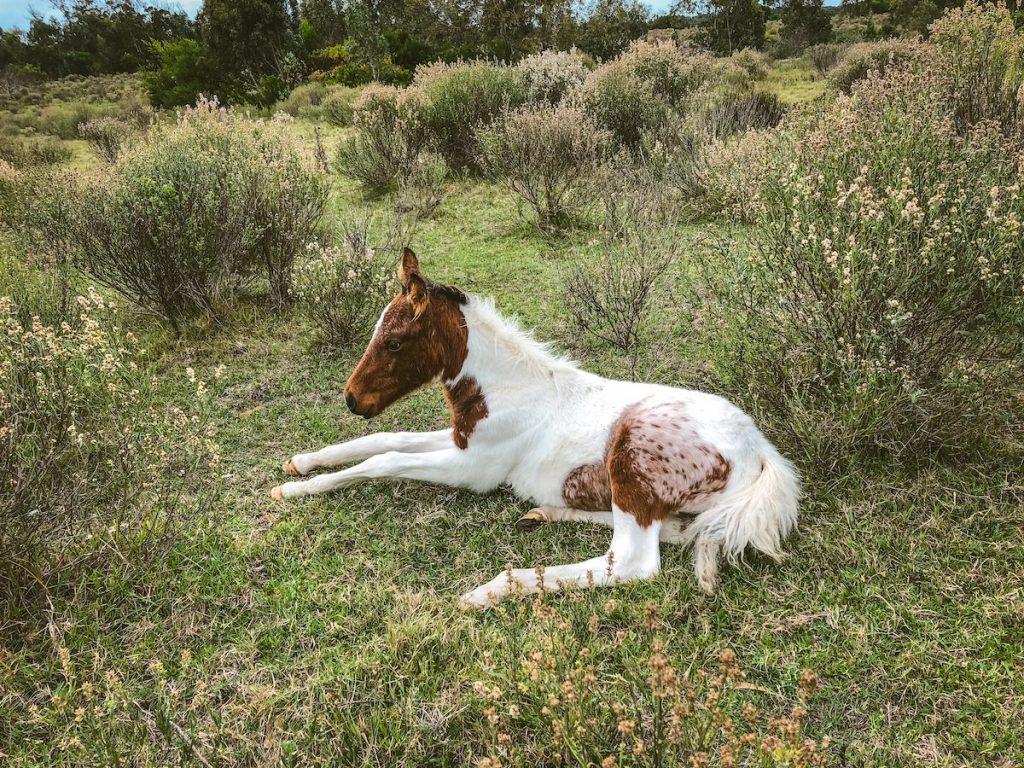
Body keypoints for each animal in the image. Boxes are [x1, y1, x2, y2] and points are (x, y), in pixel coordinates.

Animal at [272, 249, 798, 610]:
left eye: (395, 342)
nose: (351, 399)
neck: (509, 388)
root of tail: (759, 450)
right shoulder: (462, 440)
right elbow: (384, 440)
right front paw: (300, 465)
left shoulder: (473, 468)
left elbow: (386, 459)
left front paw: (296, 490)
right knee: (680, 532)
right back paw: (544, 513)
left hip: (630, 459)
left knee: (632, 561)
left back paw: (489, 590)